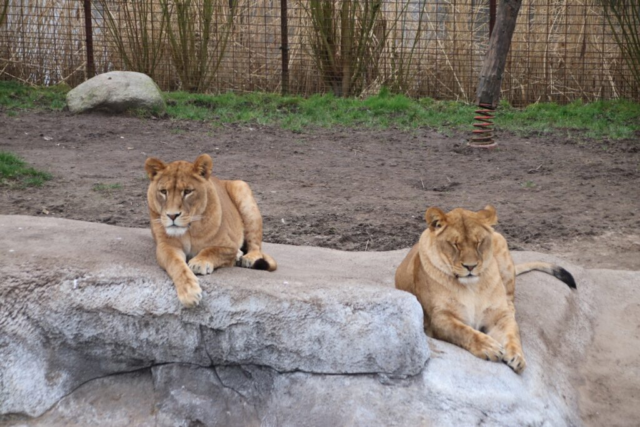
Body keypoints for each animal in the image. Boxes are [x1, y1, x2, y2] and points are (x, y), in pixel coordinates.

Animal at [145, 154, 276, 308]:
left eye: (187, 192)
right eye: (163, 192)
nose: (172, 215)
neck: (188, 231)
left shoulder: (229, 245)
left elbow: (212, 250)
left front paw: (199, 262)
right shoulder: (166, 246)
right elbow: (176, 264)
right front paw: (189, 292)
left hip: (243, 190)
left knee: (256, 245)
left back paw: (248, 258)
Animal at [396, 207, 576, 374]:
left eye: (479, 242)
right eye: (455, 244)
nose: (470, 267)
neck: (472, 287)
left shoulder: (498, 316)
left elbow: (512, 333)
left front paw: (517, 356)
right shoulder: (438, 318)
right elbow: (463, 331)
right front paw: (489, 347)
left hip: (501, 243)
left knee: (510, 302)